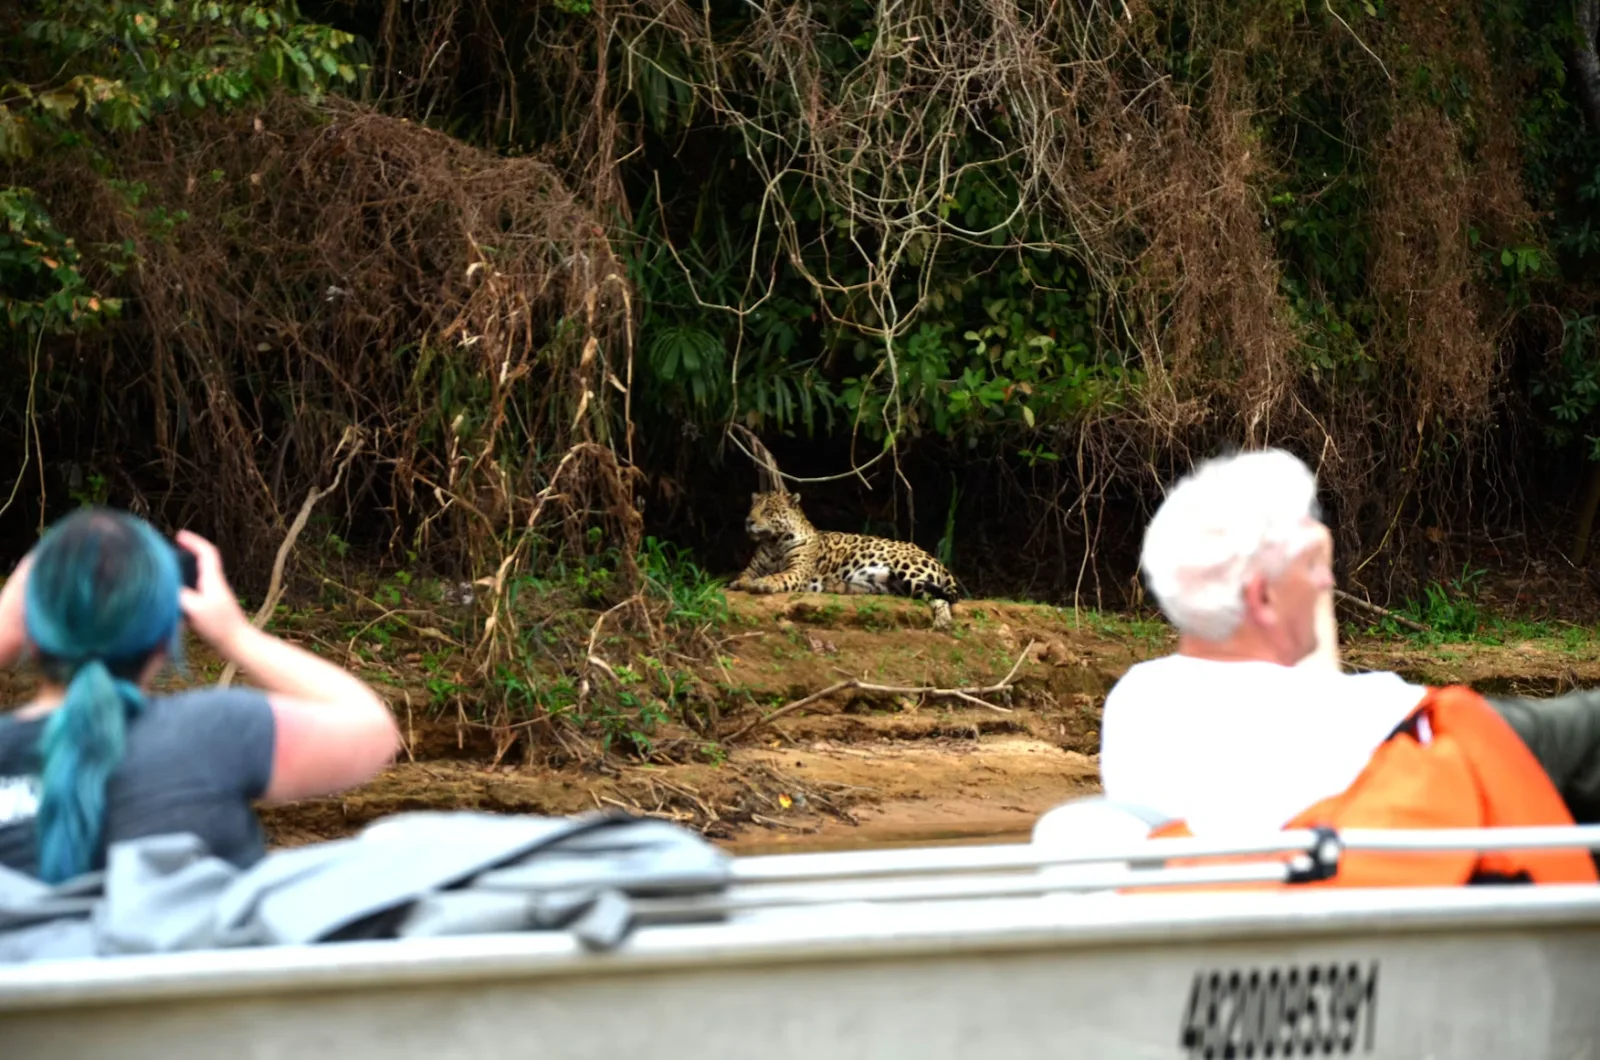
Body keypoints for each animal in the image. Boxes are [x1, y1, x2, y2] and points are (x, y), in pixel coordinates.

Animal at [728, 490, 963, 631]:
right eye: (751, 509)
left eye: (767, 510)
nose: (748, 521)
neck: (774, 542)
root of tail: (935, 559)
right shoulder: (754, 567)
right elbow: (744, 574)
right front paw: (740, 583)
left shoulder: (796, 571)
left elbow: (779, 576)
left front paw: (762, 584)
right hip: (886, 583)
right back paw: (837, 586)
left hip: (908, 570)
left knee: (941, 598)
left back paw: (943, 621)